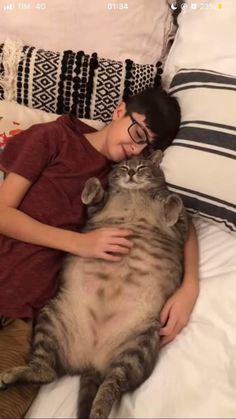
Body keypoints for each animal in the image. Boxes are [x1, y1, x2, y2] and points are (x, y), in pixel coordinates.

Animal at [0, 149, 188, 418]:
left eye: (142, 166)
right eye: (123, 167)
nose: (131, 172)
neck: (135, 193)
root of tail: (92, 360)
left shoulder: (180, 231)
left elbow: (176, 202)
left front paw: (170, 205)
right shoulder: (97, 209)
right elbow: (96, 195)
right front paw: (92, 186)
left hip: (137, 348)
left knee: (110, 386)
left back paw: (97, 410)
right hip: (51, 318)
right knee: (47, 371)